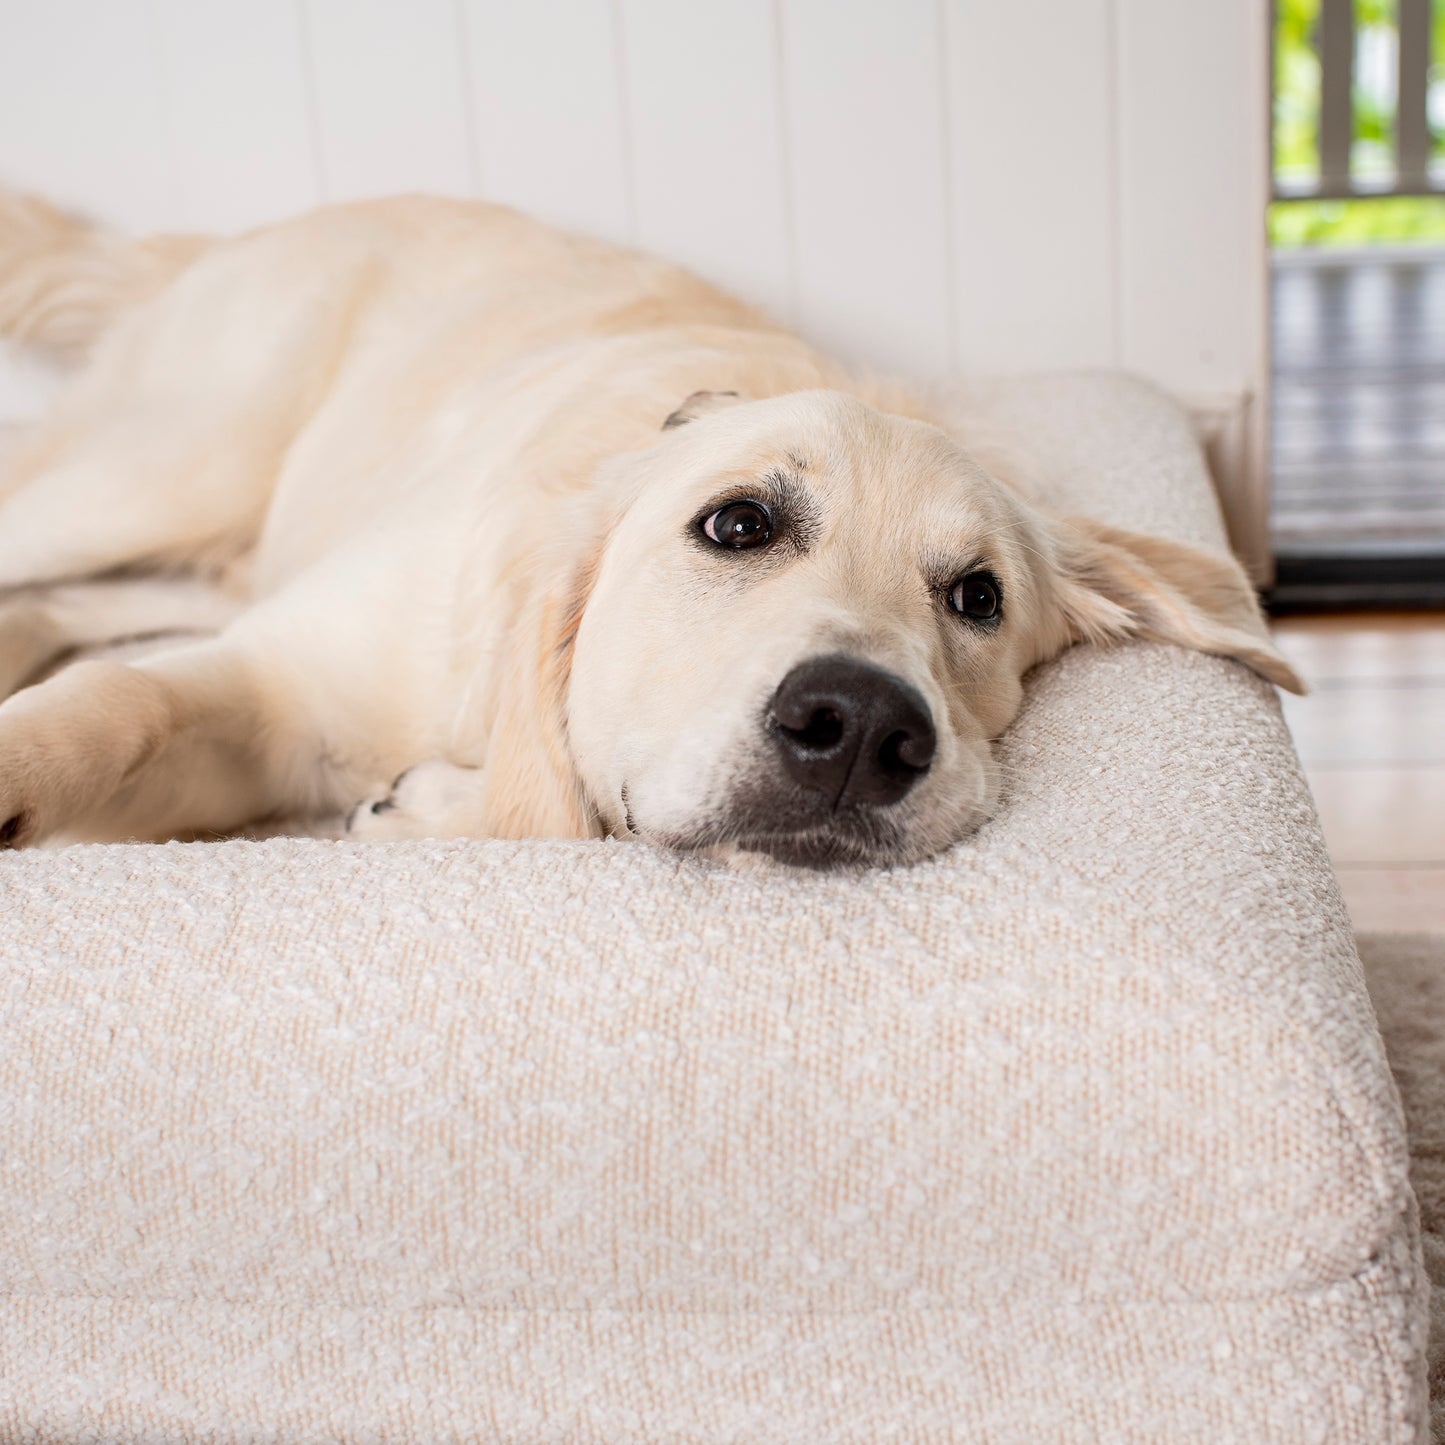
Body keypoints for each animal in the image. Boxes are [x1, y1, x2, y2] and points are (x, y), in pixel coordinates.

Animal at [0, 192, 1306, 867]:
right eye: (735, 524)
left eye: (976, 597)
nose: (857, 729)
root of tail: (218, 239)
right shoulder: (276, 679)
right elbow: (119, 701)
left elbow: (546, 821)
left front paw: (435, 804)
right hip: (159, 474)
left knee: (76, 603)